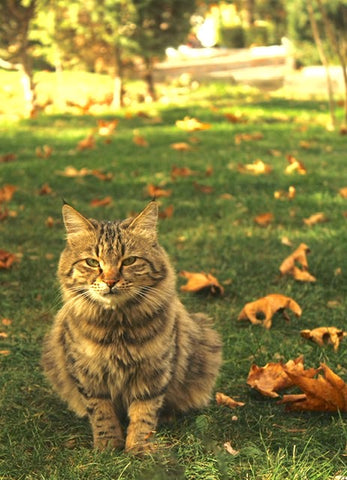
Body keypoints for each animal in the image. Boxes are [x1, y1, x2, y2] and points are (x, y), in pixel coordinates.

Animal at [42, 202, 223, 454]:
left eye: (129, 261)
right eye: (92, 262)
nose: (110, 281)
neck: (117, 327)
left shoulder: (153, 372)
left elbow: (143, 413)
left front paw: (138, 447)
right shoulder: (88, 375)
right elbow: (101, 413)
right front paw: (108, 445)